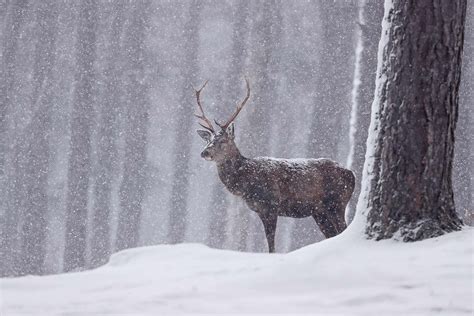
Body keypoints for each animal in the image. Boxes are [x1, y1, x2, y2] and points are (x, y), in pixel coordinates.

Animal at [194, 79, 354, 254]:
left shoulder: (271, 205)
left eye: (223, 141)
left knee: (343, 229)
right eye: (208, 140)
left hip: (337, 202)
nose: (204, 152)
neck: (246, 183)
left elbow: (271, 243)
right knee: (332, 234)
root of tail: (351, 174)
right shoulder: (260, 210)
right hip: (320, 212)